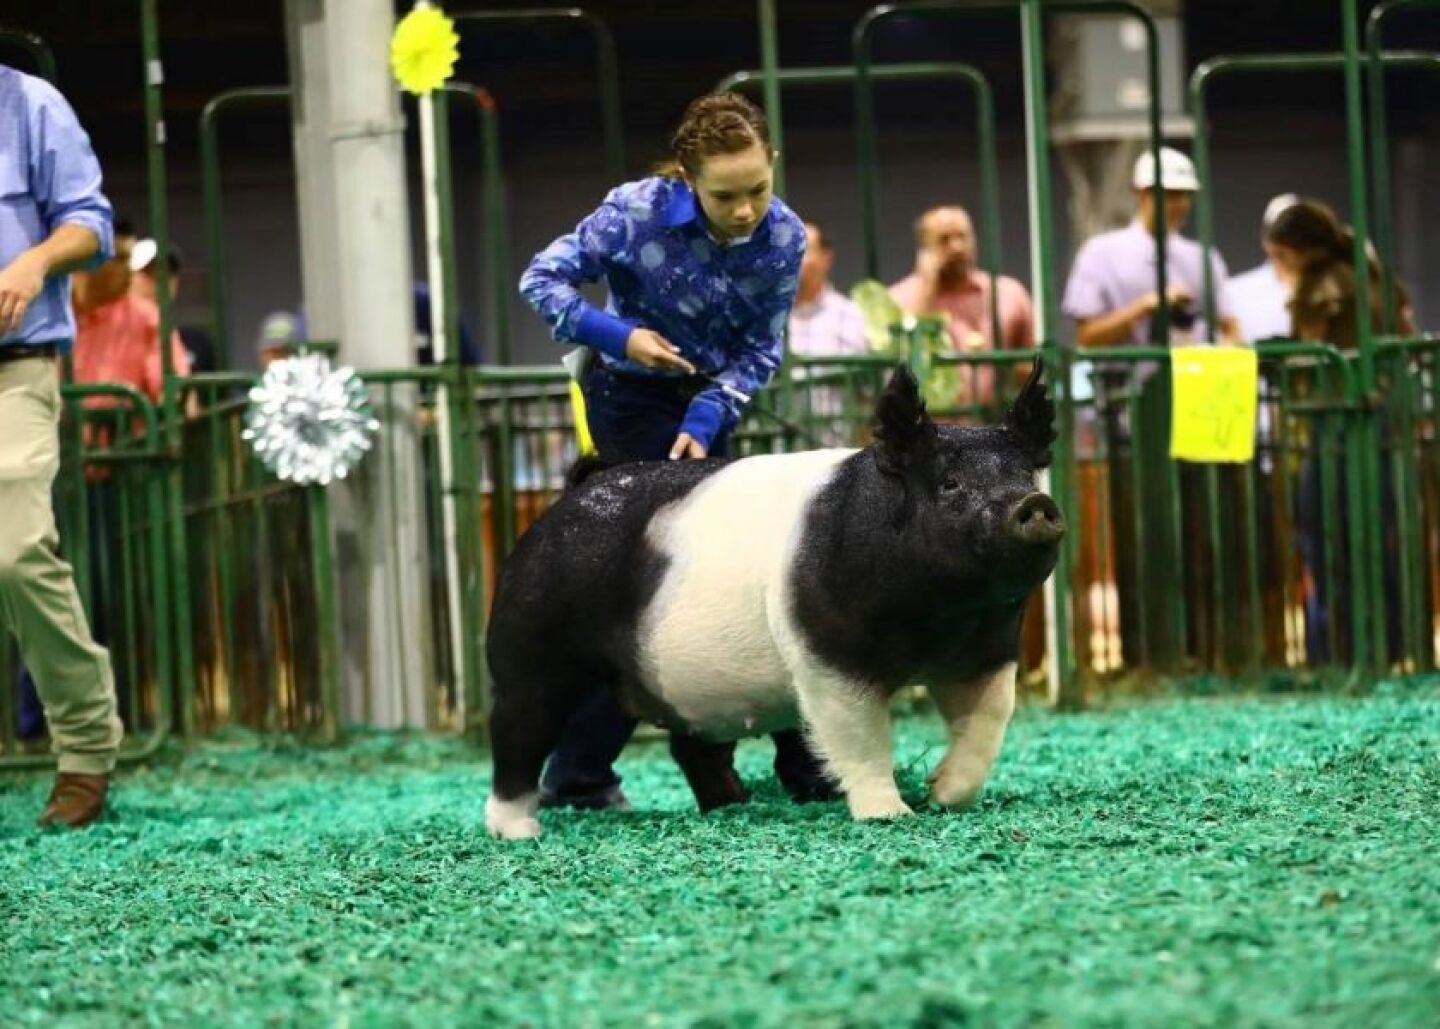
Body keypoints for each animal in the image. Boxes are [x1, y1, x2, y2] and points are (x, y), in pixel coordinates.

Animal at [484, 361, 1063, 840]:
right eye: (949, 485)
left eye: (1025, 475)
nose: (1033, 503)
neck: (940, 621)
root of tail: (566, 498)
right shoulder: (828, 656)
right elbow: (860, 737)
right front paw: (891, 815)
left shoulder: (987, 652)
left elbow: (987, 725)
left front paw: (944, 797)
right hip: (532, 648)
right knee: (518, 737)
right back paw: (520, 833)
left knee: (690, 744)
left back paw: (732, 805)